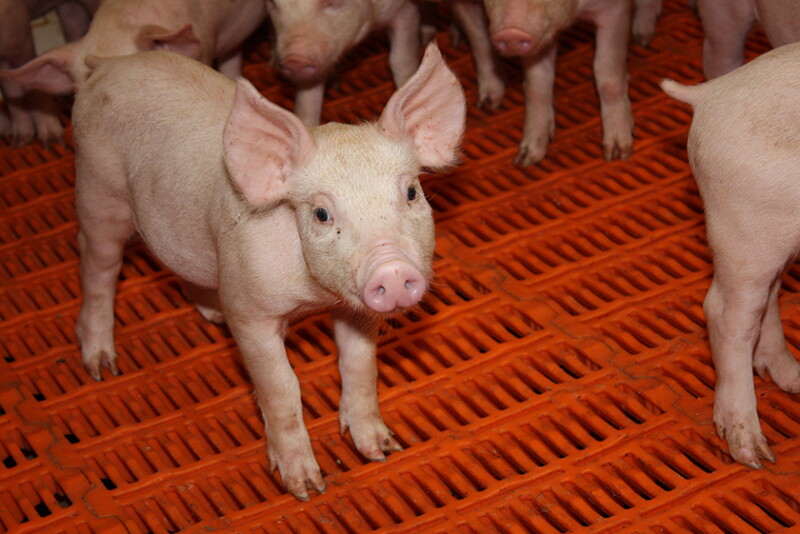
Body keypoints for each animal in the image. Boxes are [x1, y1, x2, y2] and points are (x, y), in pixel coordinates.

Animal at [72, 43, 466, 500]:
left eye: (411, 192)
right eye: (321, 213)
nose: (392, 269)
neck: (313, 298)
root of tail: (106, 65)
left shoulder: (353, 309)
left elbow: (360, 365)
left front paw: (383, 450)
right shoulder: (250, 312)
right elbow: (281, 387)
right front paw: (306, 488)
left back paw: (212, 314)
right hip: (97, 191)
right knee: (98, 265)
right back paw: (102, 366)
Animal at [266, 0, 422, 126]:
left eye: (332, 1)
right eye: (273, 3)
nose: (294, 59)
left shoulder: (406, 11)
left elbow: (400, 60)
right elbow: (307, 100)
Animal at [483, 0, 634, 165]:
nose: (511, 33)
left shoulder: (616, 10)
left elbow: (607, 74)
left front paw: (617, 154)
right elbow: (537, 83)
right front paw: (525, 160)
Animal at [661, 42, 800, 468]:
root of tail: (708, 95)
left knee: (768, 296)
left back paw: (792, 379)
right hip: (745, 225)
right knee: (725, 313)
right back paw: (753, 453)